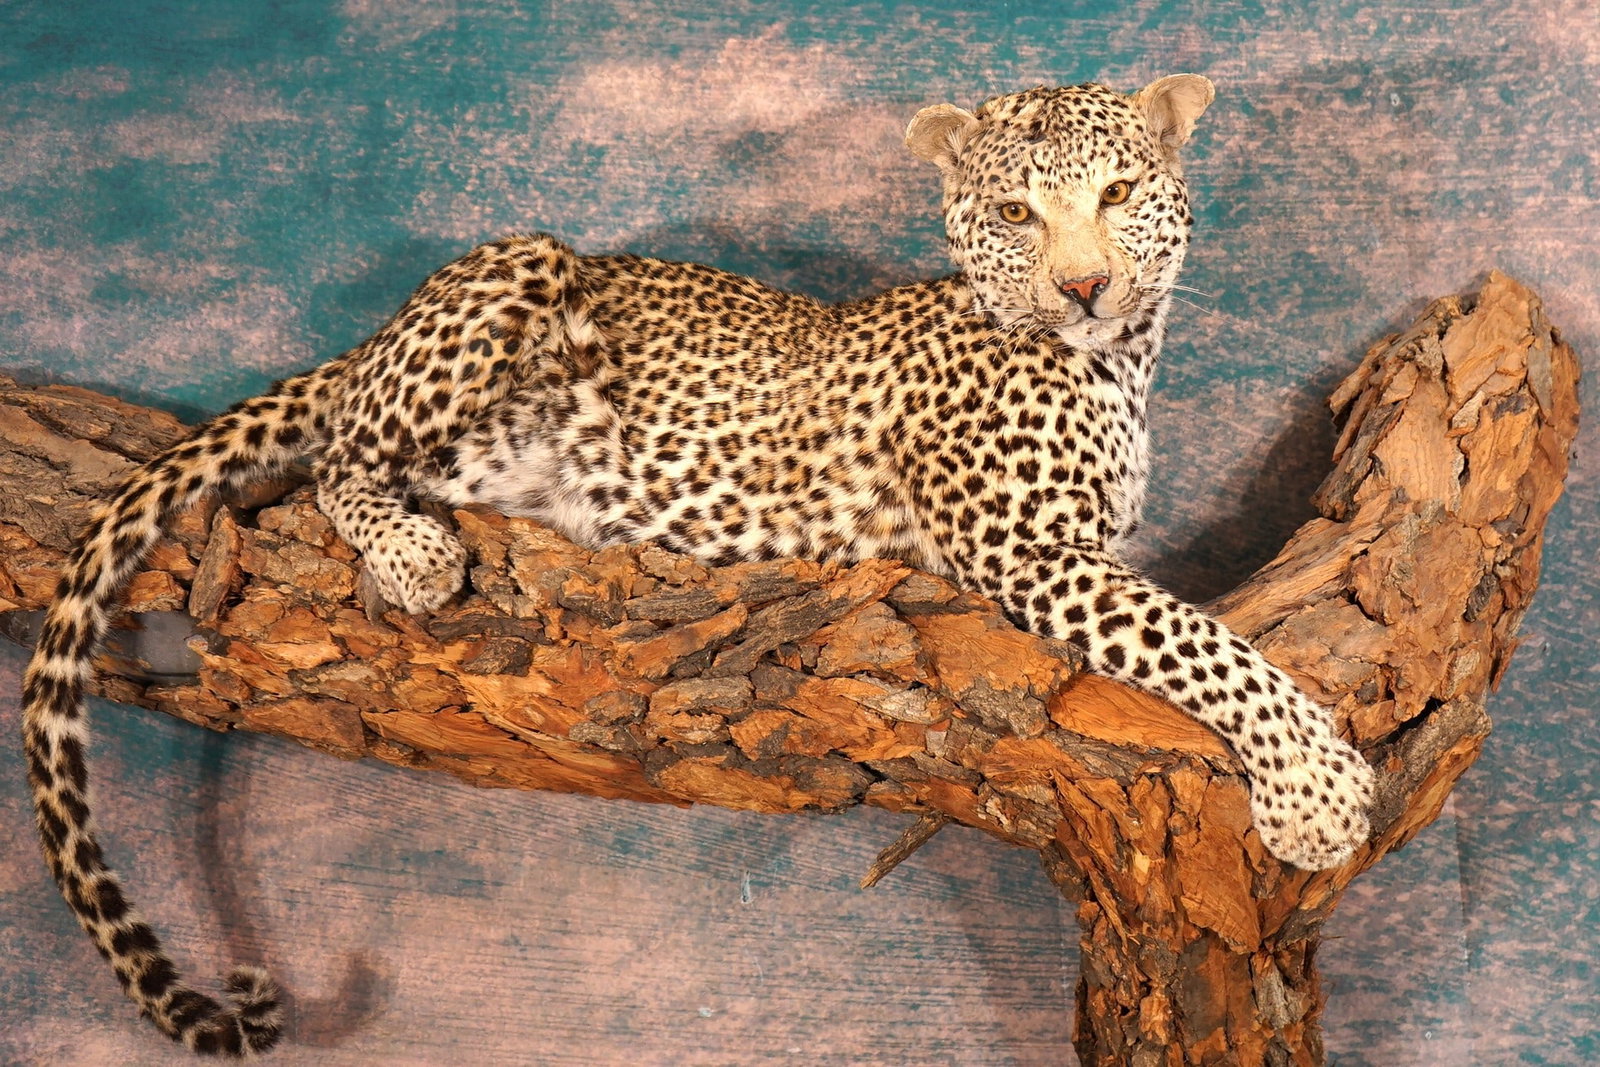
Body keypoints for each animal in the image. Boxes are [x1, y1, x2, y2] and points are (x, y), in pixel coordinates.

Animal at [21, 74, 1374, 1056]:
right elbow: (1203, 641)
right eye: (1014, 215)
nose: (1087, 285)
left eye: (1120, 188)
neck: (1116, 365)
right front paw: (1316, 789)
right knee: (339, 457)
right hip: (519, 260)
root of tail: (370, 336)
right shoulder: (1023, 547)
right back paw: (411, 549)